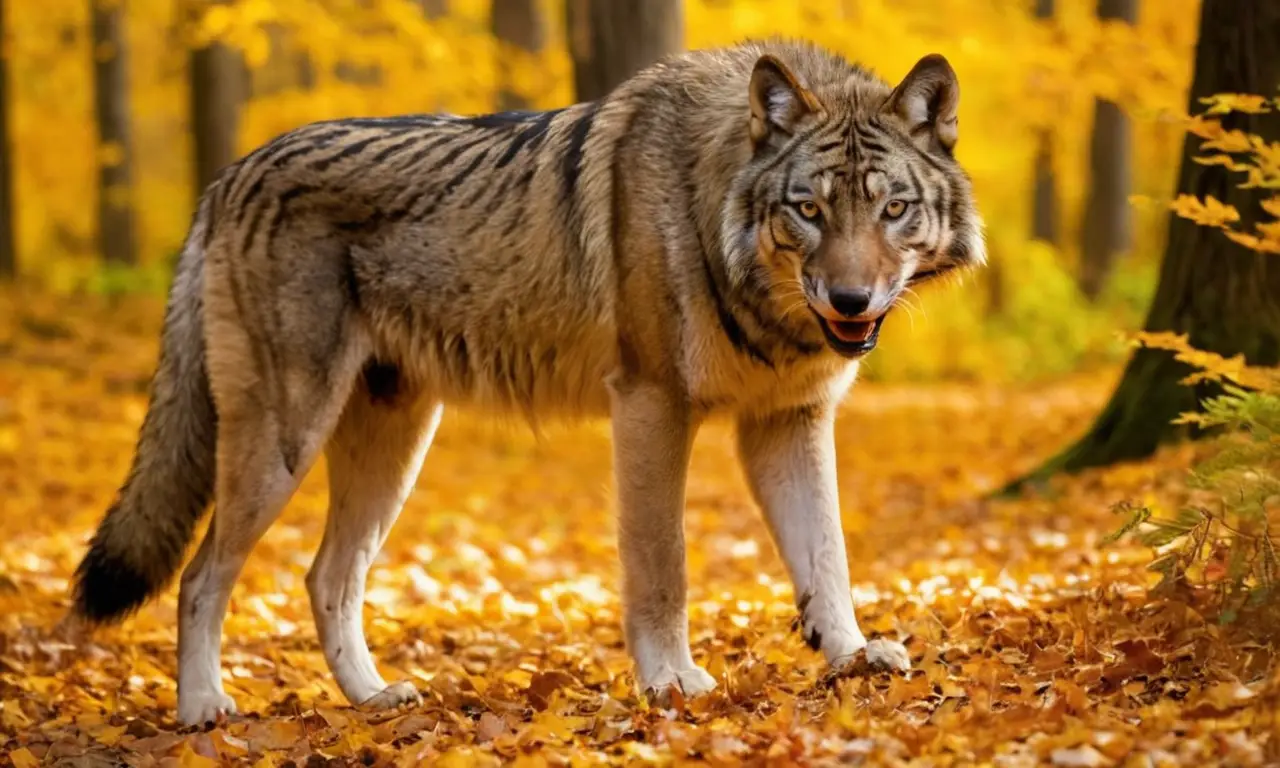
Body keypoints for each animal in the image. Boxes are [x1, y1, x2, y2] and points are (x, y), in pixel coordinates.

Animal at [69, 39, 984, 726]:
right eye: (809, 210)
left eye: (892, 210)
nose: (851, 301)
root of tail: (226, 177)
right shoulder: (652, 407)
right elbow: (664, 568)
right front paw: (671, 684)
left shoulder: (789, 422)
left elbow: (828, 556)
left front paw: (852, 657)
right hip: (280, 446)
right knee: (201, 576)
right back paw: (202, 710)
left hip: (392, 451)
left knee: (326, 577)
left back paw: (373, 699)